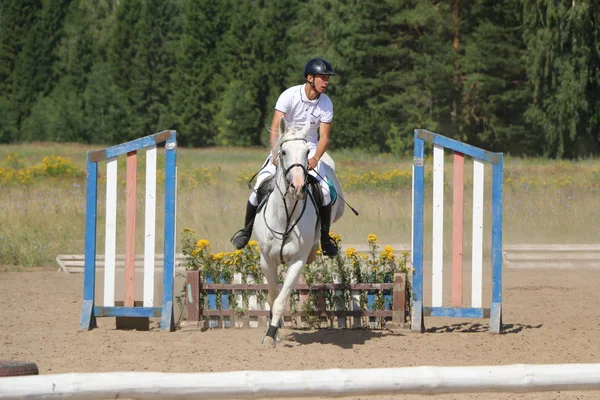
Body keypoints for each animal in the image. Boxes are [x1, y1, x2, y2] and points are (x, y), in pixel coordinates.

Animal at [253, 119, 344, 346]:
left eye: (307, 152)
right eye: (283, 152)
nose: (298, 187)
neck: (285, 215)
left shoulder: (297, 261)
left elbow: (281, 299)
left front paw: (271, 334)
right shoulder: (267, 260)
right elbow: (272, 296)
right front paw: (272, 333)